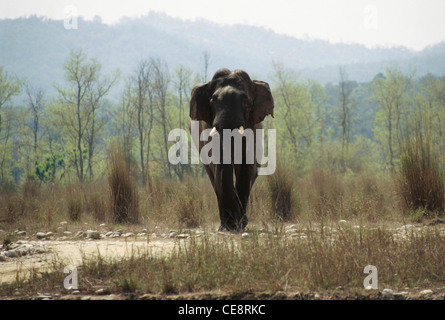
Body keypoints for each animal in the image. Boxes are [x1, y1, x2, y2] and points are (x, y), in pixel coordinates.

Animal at [188, 69, 272, 231]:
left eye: (246, 102)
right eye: (212, 101)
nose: (233, 223)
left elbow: (246, 166)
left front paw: (239, 224)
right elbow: (219, 164)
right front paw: (231, 225)